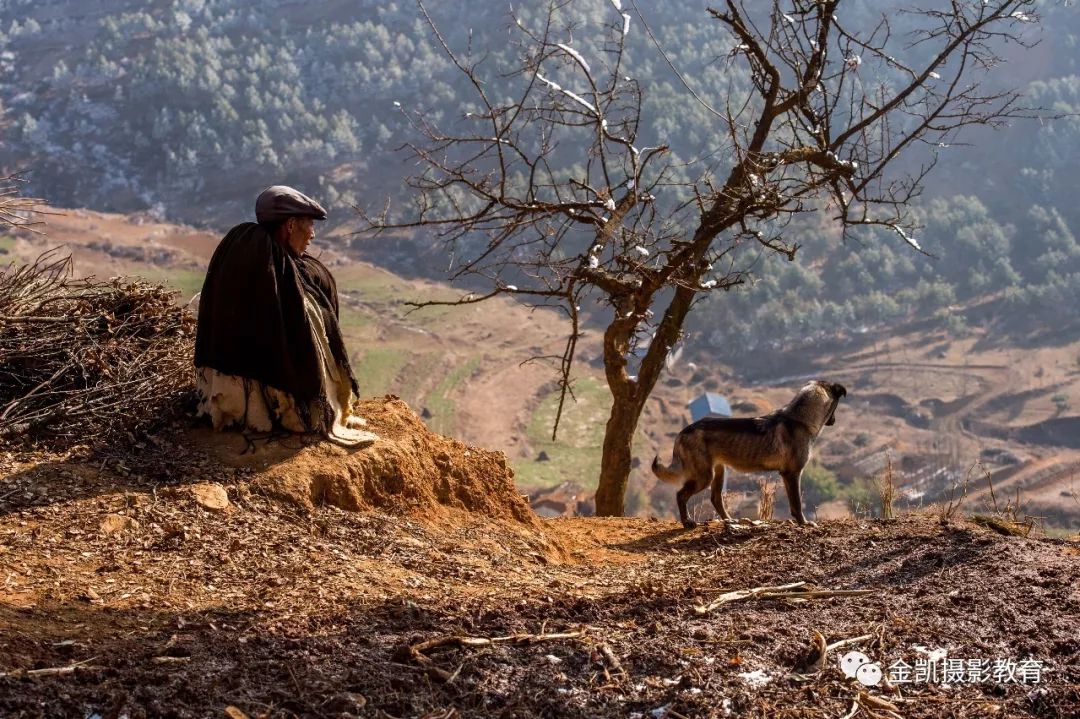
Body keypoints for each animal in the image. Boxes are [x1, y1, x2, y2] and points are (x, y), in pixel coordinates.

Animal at [648, 380, 842, 526]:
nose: (833, 421)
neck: (799, 419)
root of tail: (683, 432)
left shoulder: (788, 475)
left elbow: (794, 503)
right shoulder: (792, 474)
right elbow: (797, 503)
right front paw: (803, 523)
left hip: (718, 471)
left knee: (715, 498)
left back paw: (729, 520)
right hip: (704, 476)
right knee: (681, 495)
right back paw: (687, 522)